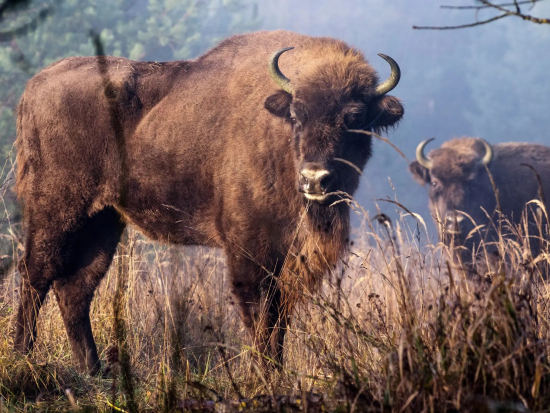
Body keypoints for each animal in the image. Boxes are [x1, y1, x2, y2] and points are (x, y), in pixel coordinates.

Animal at [14, 30, 406, 374]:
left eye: (355, 118)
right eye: (296, 115)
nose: (314, 179)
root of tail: (35, 85)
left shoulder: (286, 258)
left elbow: (279, 319)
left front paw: (276, 372)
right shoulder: (249, 250)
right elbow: (260, 316)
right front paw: (265, 375)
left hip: (104, 220)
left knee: (75, 287)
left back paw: (92, 369)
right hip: (56, 209)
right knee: (36, 273)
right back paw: (23, 358)